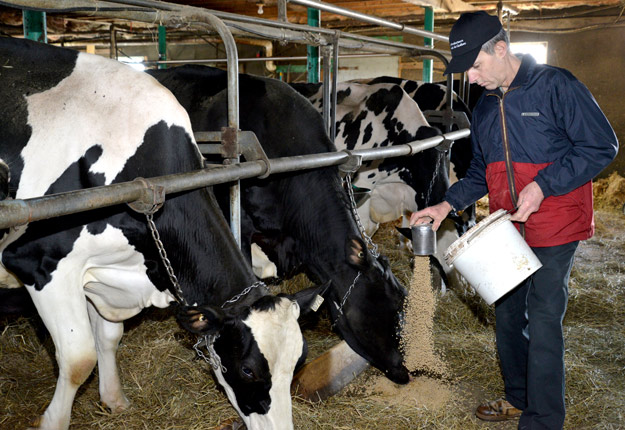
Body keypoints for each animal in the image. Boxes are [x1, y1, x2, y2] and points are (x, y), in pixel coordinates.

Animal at [0, 37, 320, 430]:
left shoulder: (103, 271)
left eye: (299, 360)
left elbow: (109, 336)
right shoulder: (39, 262)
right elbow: (78, 359)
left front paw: (114, 399)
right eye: (247, 370)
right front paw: (54, 421)